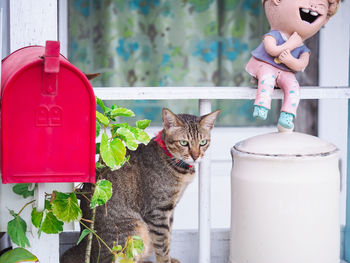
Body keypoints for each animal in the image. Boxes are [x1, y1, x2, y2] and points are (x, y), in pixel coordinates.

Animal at [60, 108, 219, 263]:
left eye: (203, 142)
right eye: (184, 143)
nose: (196, 156)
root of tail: (83, 245)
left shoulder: (170, 210)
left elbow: (168, 239)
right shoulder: (158, 211)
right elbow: (162, 245)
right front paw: (166, 260)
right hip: (135, 230)